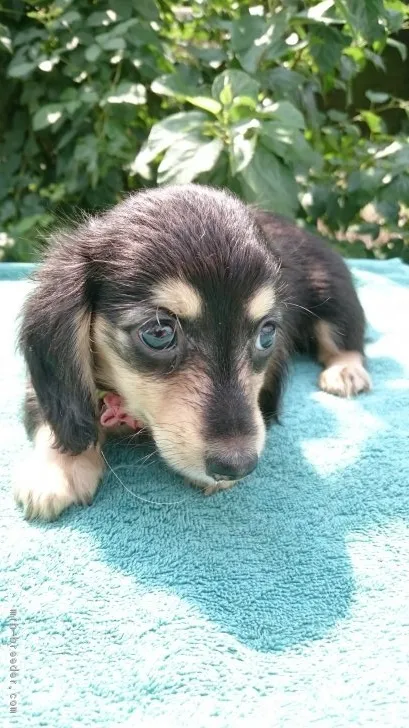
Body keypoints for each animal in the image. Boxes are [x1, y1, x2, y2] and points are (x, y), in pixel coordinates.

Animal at [13, 185, 370, 520]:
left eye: (267, 334)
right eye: (158, 333)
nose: (237, 465)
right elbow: (52, 414)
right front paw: (57, 470)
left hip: (333, 293)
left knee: (346, 339)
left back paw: (346, 370)